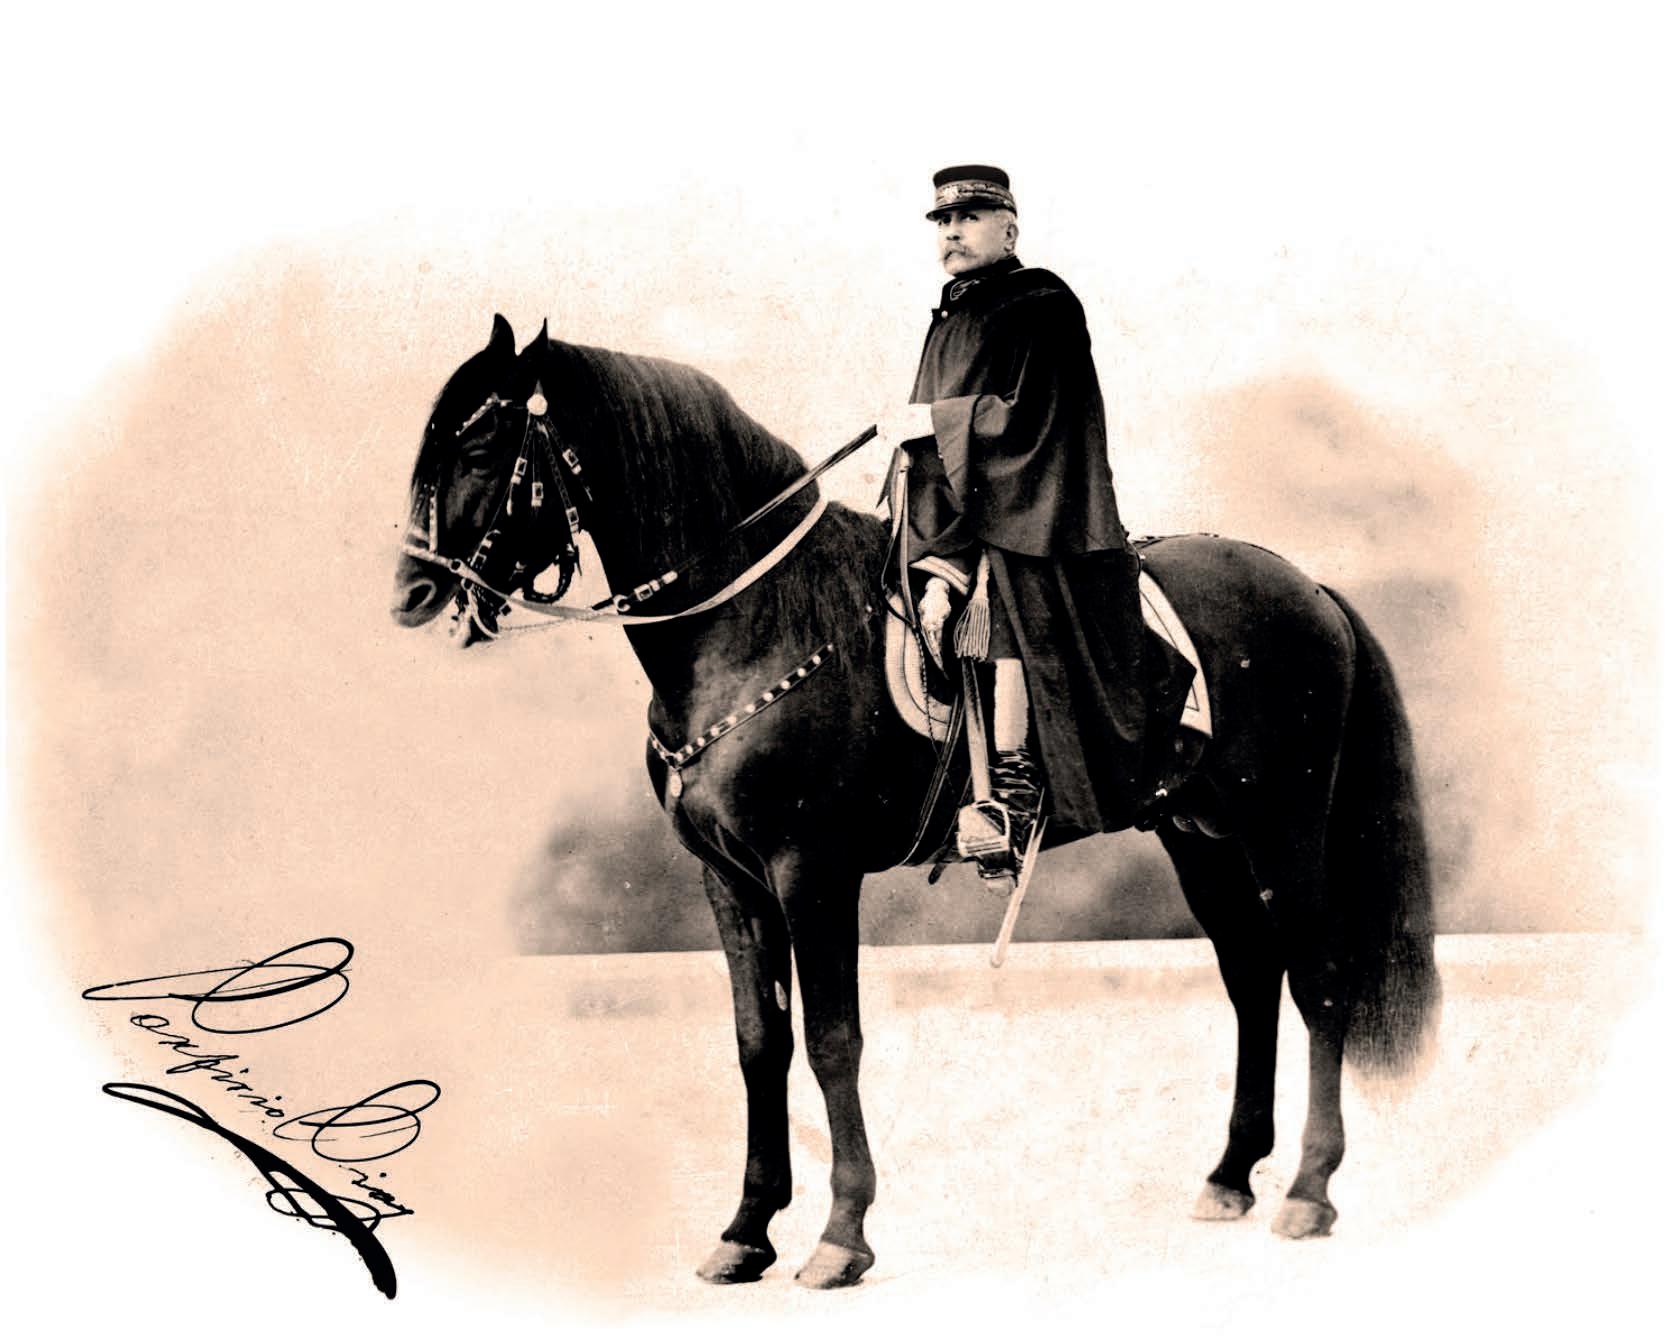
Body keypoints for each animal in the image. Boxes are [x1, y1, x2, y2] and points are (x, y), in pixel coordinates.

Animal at [389, 314, 1440, 1289]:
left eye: (480, 446)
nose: (410, 592)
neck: (753, 623)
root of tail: (1309, 586)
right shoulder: (729, 880)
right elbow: (759, 1044)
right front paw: (745, 1232)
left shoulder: (811, 873)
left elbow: (833, 1041)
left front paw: (840, 1236)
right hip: (1200, 834)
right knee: (1252, 976)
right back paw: (1230, 1175)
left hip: (1285, 824)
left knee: (1319, 975)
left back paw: (1309, 1188)